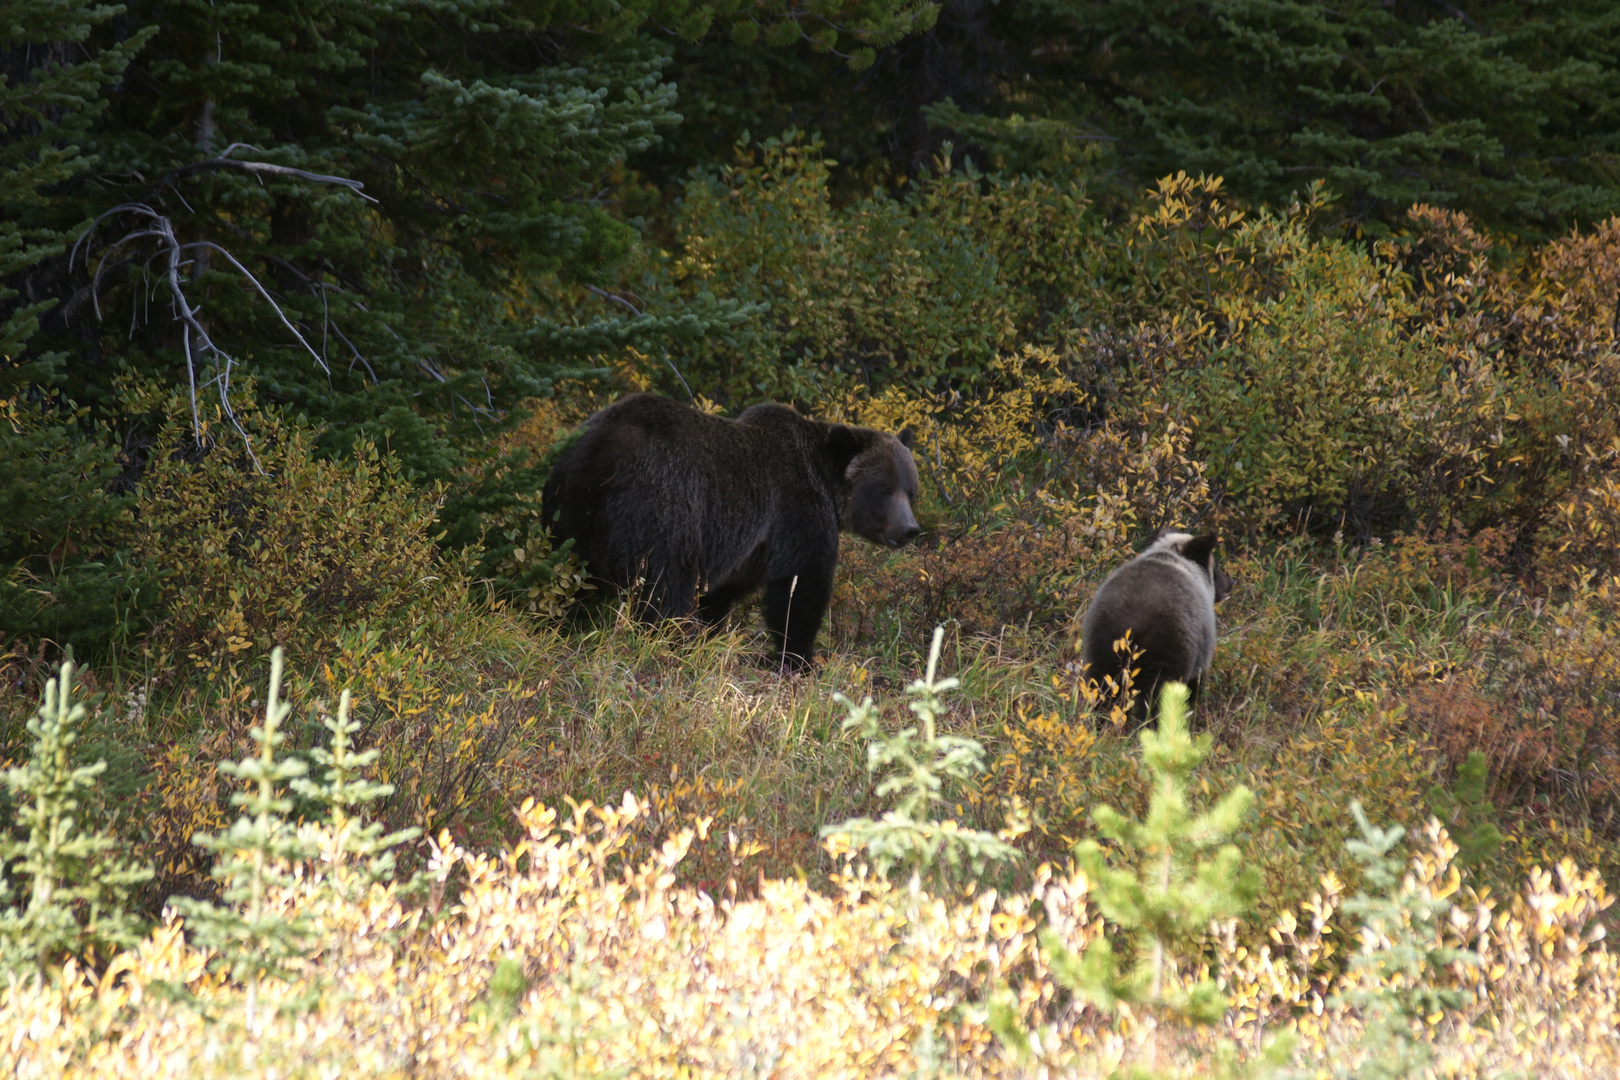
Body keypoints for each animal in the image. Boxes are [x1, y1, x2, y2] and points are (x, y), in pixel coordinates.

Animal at [544, 393, 920, 670]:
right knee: (666, 584)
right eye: (884, 489)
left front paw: (713, 631)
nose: (910, 529)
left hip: (568, 504)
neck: (826, 478)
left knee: (565, 578)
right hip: (660, 500)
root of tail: (601, 452)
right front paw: (800, 658)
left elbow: (722, 593)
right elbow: (800, 587)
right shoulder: (797, 508)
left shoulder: (749, 549)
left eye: (911, 490)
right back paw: (672, 641)